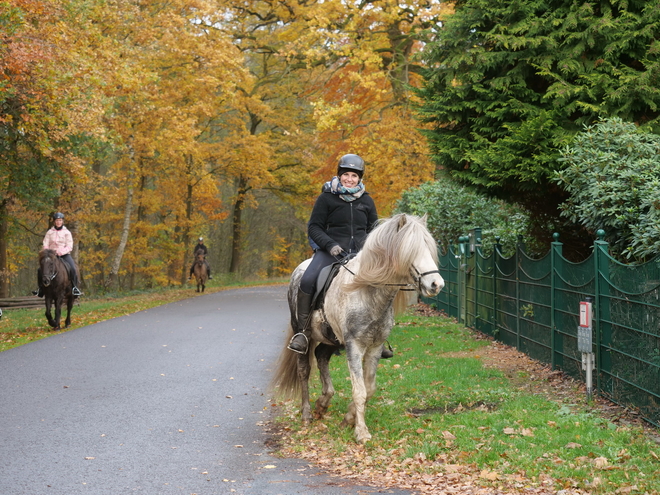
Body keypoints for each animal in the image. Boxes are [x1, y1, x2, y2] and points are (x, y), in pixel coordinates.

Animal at [270, 213, 446, 446]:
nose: (436, 284)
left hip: (332, 338)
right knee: (304, 371)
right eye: (411, 250)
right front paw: (361, 432)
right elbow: (359, 390)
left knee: (321, 356)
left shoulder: (374, 347)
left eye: (429, 248)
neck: (367, 291)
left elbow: (369, 389)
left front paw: (348, 418)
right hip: (303, 333)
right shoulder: (354, 346)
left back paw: (323, 403)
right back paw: (307, 413)